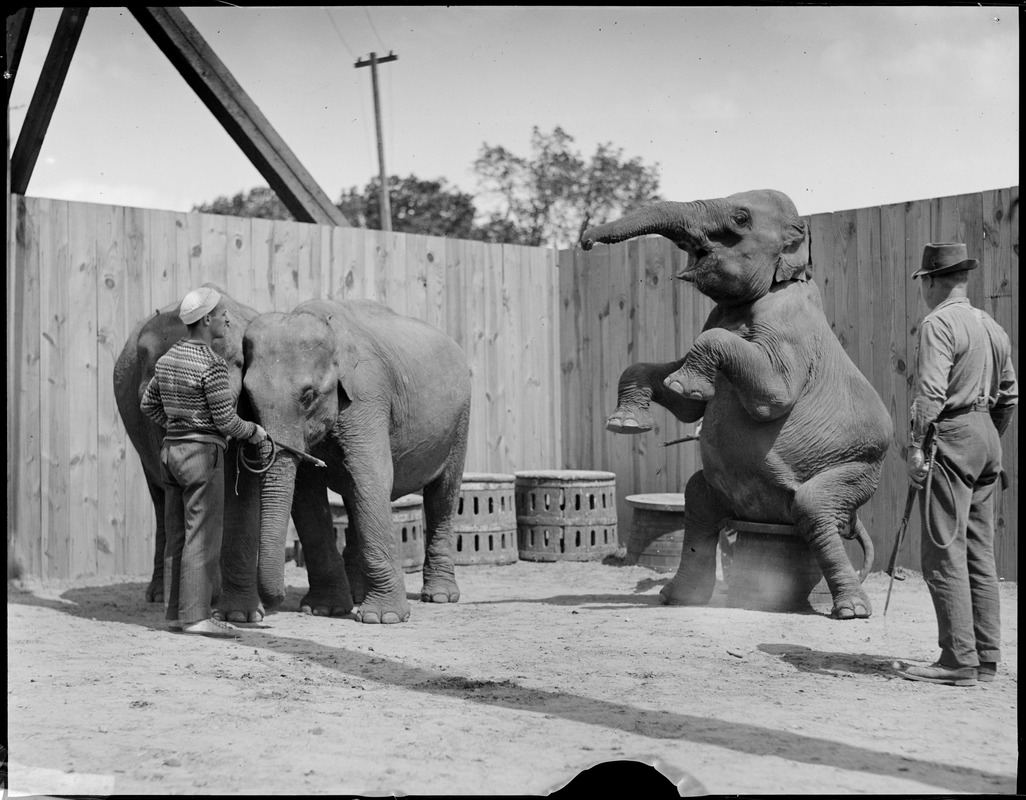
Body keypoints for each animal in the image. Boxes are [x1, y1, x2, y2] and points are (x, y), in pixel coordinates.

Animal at [242, 297, 469, 623]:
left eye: (308, 396)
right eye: (248, 398)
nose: (271, 603)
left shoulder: (367, 394)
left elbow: (371, 476)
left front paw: (382, 618)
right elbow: (306, 494)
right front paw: (324, 609)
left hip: (460, 419)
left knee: (443, 493)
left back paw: (440, 597)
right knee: (352, 498)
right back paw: (357, 595)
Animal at [582, 187, 894, 619]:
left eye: (741, 219)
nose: (585, 241)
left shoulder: (788, 320)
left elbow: (774, 395)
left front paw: (682, 385)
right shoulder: (717, 314)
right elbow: (685, 405)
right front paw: (627, 424)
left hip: (860, 467)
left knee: (814, 508)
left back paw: (850, 611)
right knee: (697, 502)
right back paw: (677, 597)